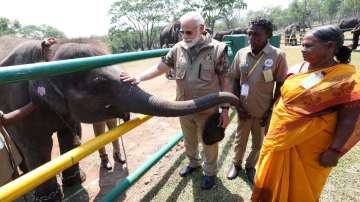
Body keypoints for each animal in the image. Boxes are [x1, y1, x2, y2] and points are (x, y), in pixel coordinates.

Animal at [0, 36, 242, 200]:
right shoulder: (17, 99)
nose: (236, 102)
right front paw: (50, 197)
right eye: (99, 83)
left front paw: (75, 183)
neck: (47, 57)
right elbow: (36, 146)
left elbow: (70, 135)